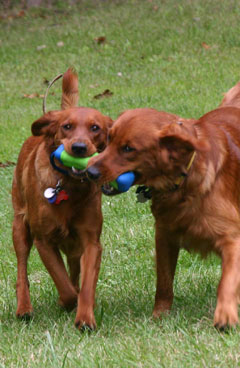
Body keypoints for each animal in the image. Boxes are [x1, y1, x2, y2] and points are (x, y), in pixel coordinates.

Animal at [13, 69, 113, 330]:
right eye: (67, 126)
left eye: (95, 128)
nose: (78, 147)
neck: (67, 184)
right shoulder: (43, 241)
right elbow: (63, 284)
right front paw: (69, 302)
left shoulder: (90, 242)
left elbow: (85, 284)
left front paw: (85, 318)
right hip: (19, 228)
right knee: (21, 270)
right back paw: (24, 308)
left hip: (74, 246)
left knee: (74, 270)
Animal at [88, 93, 240, 330]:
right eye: (110, 139)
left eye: (128, 149)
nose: (90, 171)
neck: (183, 181)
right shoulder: (164, 235)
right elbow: (164, 281)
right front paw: (159, 316)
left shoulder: (232, 238)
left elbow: (228, 280)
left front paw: (225, 315)